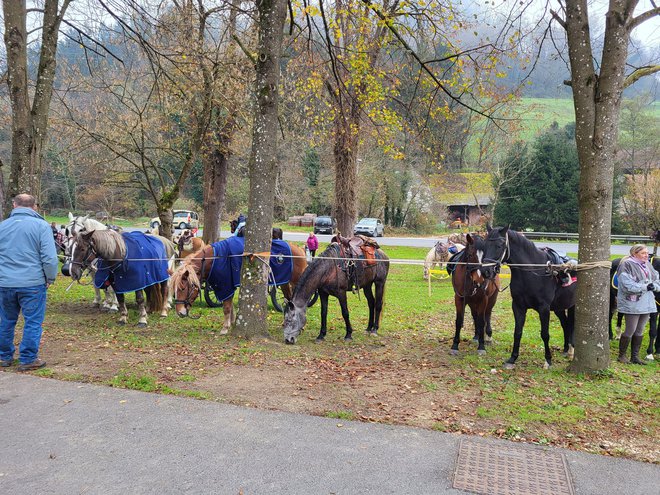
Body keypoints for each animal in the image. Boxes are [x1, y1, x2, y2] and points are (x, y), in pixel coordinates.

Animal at [168, 238, 306, 336]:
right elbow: (231, 308)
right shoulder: (226, 288)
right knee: (289, 300)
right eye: (174, 291)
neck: (217, 258)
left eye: (183, 289)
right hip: (284, 283)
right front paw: (232, 323)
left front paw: (225, 328)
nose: (180, 312)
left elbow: (226, 308)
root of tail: (300, 250)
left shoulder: (226, 286)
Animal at [476, 227, 576, 370]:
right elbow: (517, 332)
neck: (533, 272)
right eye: (485, 245)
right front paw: (512, 359)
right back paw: (565, 349)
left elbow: (545, 334)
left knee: (571, 325)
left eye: (500, 245)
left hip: (573, 306)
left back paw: (571, 351)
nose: (485, 272)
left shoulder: (544, 309)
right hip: (559, 308)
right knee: (565, 324)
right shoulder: (518, 307)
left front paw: (548, 360)